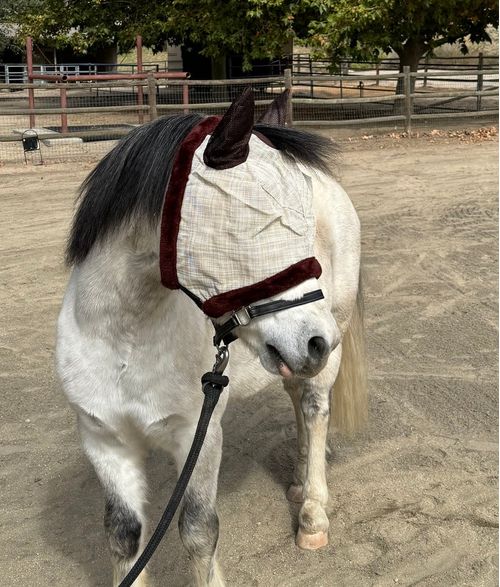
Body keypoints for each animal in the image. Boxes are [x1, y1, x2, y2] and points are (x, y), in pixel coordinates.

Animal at [55, 88, 368, 587]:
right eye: (258, 221)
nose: (317, 341)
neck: (125, 343)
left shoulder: (197, 437)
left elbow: (198, 531)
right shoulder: (104, 441)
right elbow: (123, 534)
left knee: (315, 408)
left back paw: (312, 513)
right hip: (286, 357)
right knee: (296, 393)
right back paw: (299, 477)